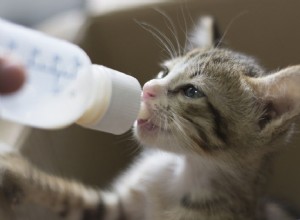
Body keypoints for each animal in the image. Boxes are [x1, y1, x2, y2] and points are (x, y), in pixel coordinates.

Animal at [0, 16, 300, 219]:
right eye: (164, 72)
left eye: (192, 91)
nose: (146, 88)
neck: (185, 169)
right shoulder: (119, 208)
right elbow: (74, 198)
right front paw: (16, 172)